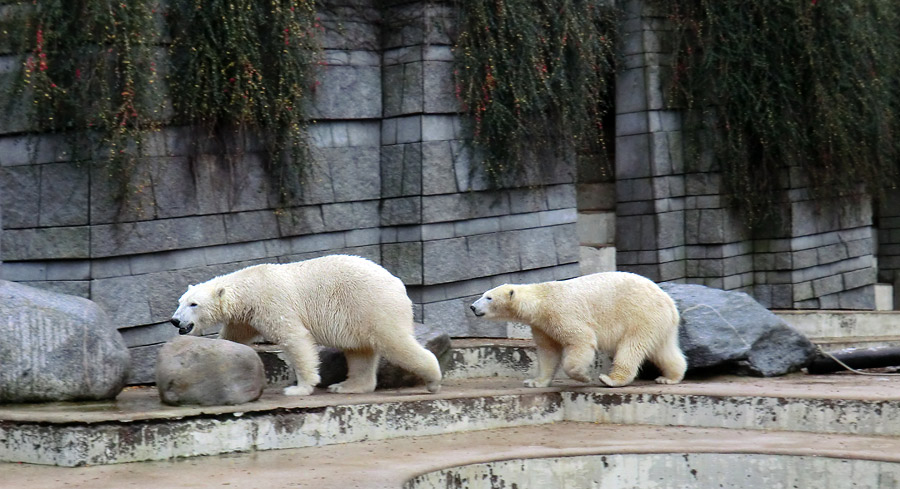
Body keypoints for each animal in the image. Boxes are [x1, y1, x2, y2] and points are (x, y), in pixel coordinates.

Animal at [170, 254, 442, 394]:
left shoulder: (272, 303)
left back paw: (433, 380)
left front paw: (300, 388)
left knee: (395, 342)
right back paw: (345, 386)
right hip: (358, 316)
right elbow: (235, 336)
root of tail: (398, 283)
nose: (175, 320)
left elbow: (295, 339)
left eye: (193, 304)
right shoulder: (247, 316)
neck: (249, 286)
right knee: (360, 353)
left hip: (373, 305)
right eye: (180, 302)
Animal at [468, 268, 684, 386]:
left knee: (631, 347)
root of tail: (670, 303)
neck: (541, 300)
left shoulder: (562, 313)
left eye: (488, 297)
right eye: (484, 294)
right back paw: (670, 377)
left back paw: (611, 379)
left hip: (641, 315)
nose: (472, 307)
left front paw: (583, 376)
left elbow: (581, 340)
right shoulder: (541, 325)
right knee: (664, 350)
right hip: (659, 322)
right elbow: (548, 352)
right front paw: (535, 382)